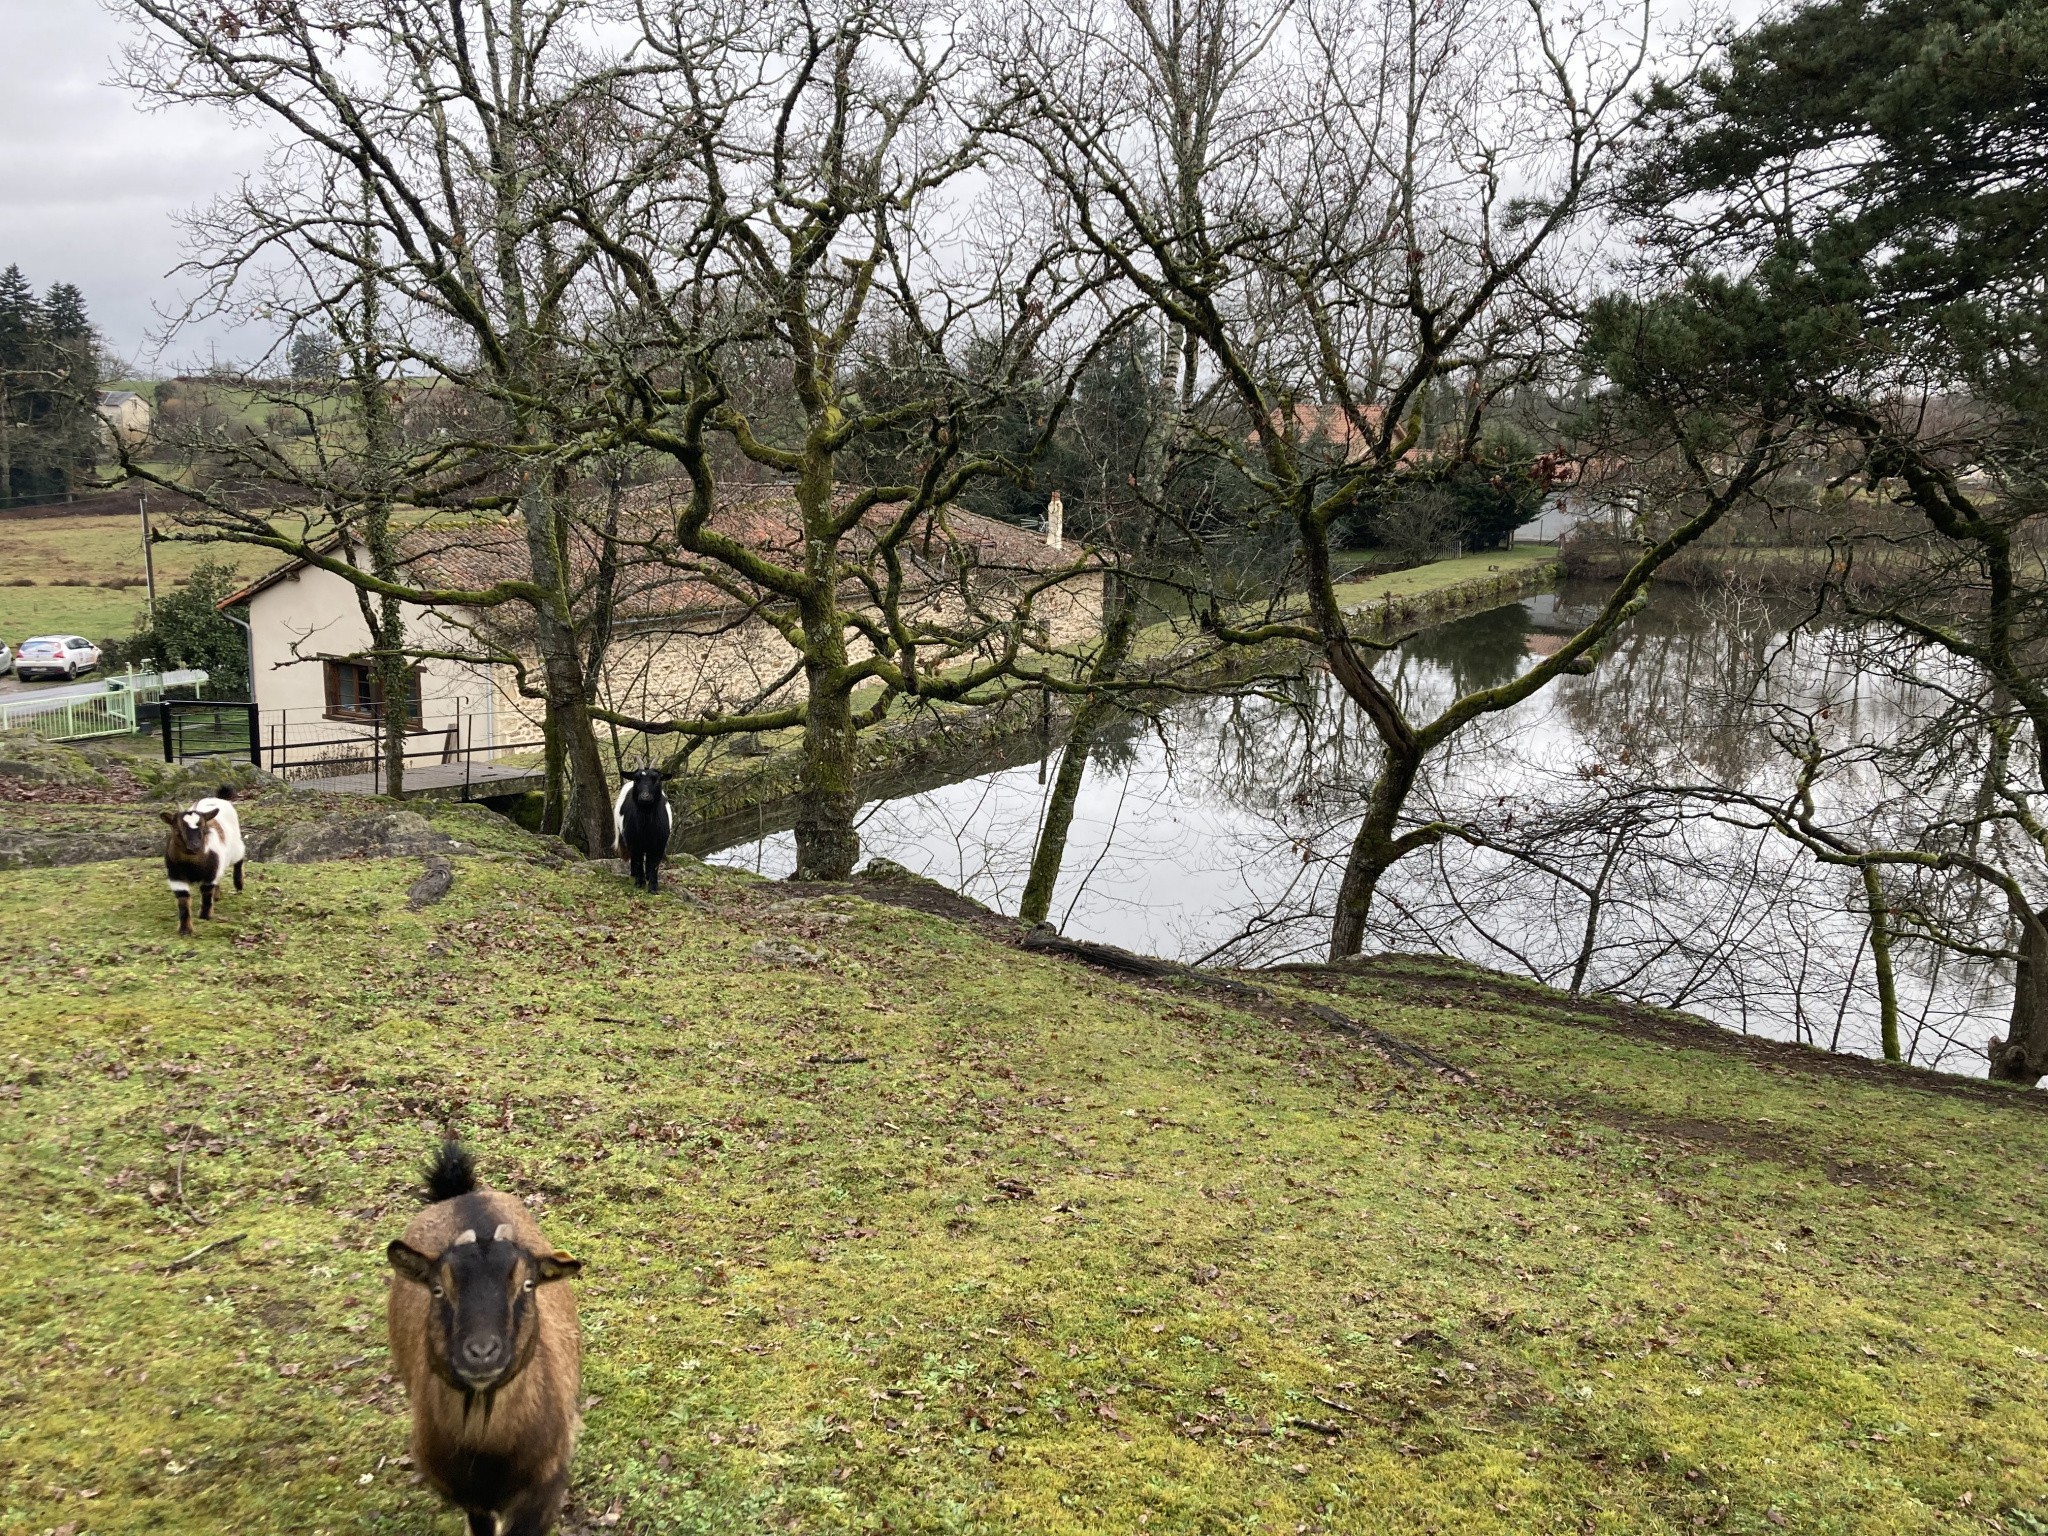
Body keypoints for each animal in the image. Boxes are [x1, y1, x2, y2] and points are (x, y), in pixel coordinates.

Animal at [160, 794, 246, 937]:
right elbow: (183, 902)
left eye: (203, 827)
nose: (195, 845)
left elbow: (206, 894)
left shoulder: (210, 874)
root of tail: (216, 798)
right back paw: (217, 895)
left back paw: (238, 885)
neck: (191, 863)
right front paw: (185, 930)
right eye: (178, 829)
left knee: (239, 858)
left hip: (235, 846)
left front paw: (205, 916)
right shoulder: (176, 877)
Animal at [385, 1146, 581, 1531]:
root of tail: (462, 1194)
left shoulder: (545, 1489)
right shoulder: (470, 1498)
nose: (481, 1352)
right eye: (437, 1289)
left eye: (528, 1284)